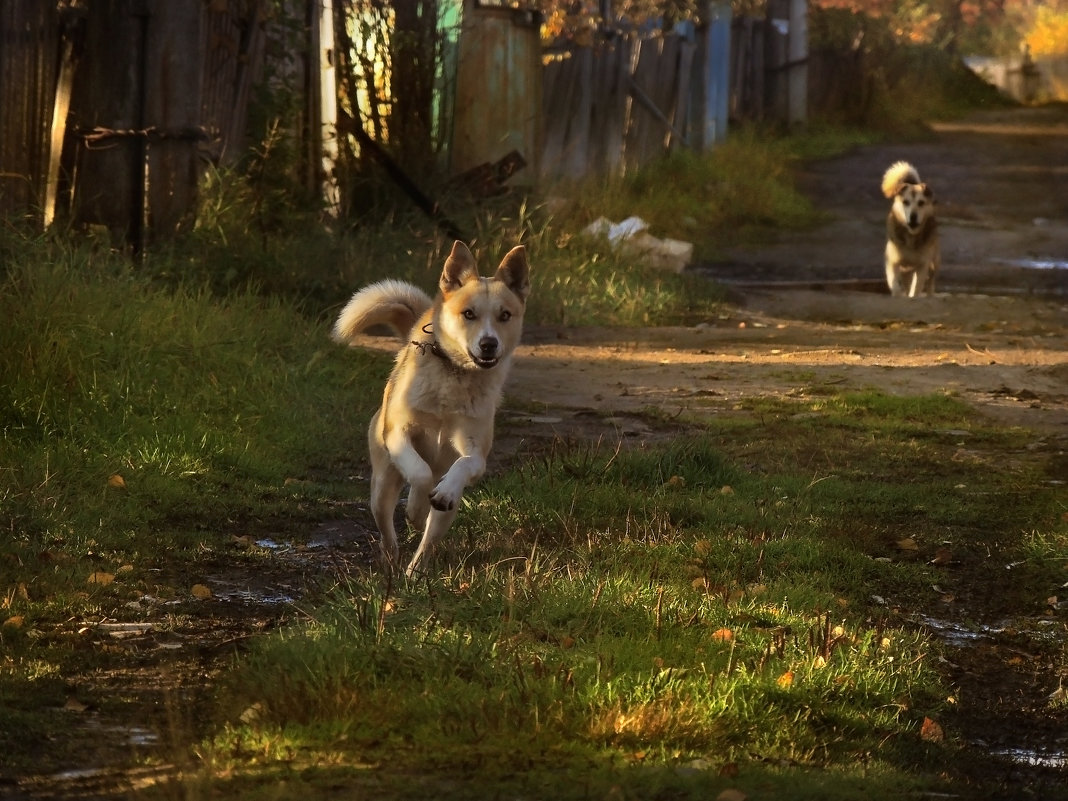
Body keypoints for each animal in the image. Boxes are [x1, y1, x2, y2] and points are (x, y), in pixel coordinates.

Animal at [880, 161, 939, 299]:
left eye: (921, 202)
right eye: (905, 202)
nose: (913, 216)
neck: (911, 236)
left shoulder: (923, 265)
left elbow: (917, 287)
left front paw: (914, 296)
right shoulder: (892, 262)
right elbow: (895, 284)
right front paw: (897, 295)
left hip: (934, 261)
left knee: (931, 280)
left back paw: (929, 295)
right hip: (906, 270)